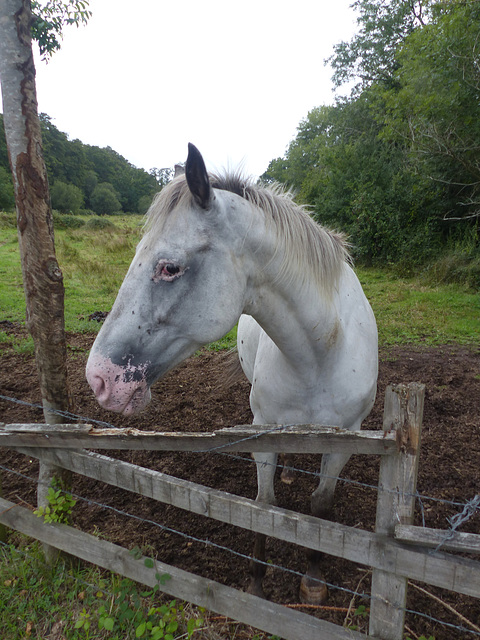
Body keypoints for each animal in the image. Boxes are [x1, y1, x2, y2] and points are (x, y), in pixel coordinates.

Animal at [87, 142, 378, 604]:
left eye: (169, 267)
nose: (98, 378)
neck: (321, 353)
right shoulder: (263, 432)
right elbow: (263, 506)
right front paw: (257, 580)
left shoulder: (346, 439)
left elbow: (321, 506)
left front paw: (313, 580)